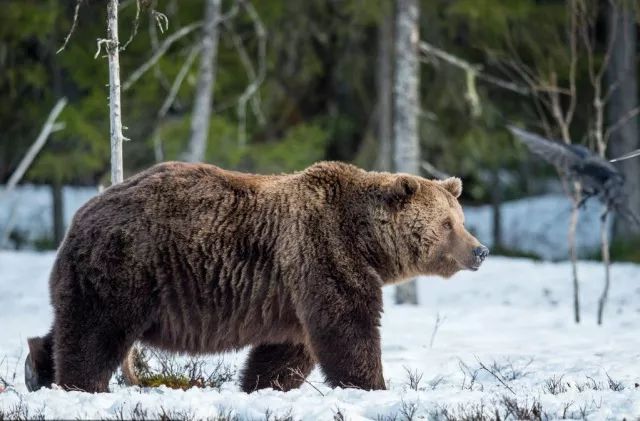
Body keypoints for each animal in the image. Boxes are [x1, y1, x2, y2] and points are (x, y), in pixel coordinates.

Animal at [23, 162, 484, 394]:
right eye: (447, 224)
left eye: (460, 219)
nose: (479, 250)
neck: (366, 240)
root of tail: (81, 213)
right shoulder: (323, 253)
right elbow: (348, 328)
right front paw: (371, 385)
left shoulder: (294, 289)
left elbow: (289, 348)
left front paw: (262, 386)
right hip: (127, 264)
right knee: (96, 333)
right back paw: (82, 386)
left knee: (71, 324)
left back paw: (36, 365)